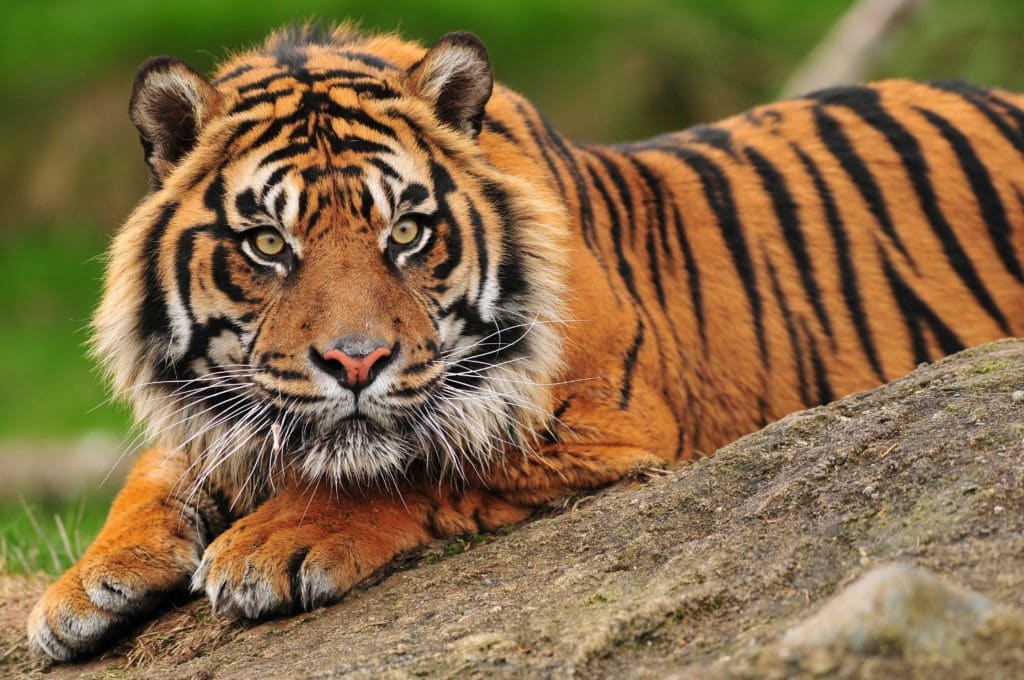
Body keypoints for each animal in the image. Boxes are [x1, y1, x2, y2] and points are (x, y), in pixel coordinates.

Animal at [25, 23, 1024, 659]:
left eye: (407, 233)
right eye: (269, 244)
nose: (355, 363)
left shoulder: (602, 427)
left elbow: (415, 463)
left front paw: (275, 544)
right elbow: (162, 466)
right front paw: (82, 588)